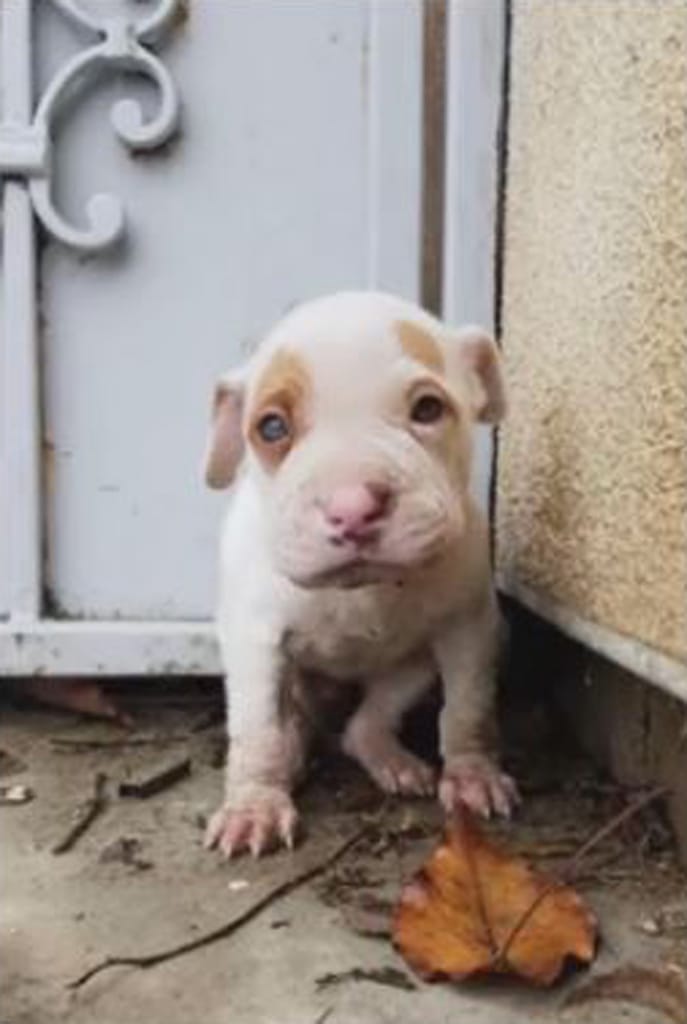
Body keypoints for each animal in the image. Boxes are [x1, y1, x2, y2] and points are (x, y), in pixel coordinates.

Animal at [203, 291, 518, 858]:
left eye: (428, 409)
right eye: (272, 427)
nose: (352, 507)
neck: (357, 590)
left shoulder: (469, 628)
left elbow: (469, 707)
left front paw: (473, 774)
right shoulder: (255, 642)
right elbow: (257, 729)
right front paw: (254, 805)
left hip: (417, 666)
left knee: (367, 721)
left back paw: (388, 757)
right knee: (291, 724)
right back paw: (292, 755)